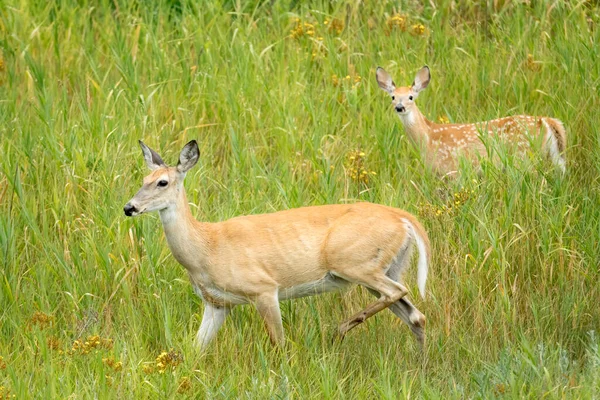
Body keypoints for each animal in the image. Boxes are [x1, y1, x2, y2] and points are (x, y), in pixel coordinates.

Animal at [123, 141, 432, 350]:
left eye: (163, 182)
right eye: (143, 179)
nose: (129, 207)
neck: (206, 247)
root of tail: (404, 219)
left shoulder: (264, 288)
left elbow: (279, 343)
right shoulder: (217, 303)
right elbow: (195, 349)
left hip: (355, 263)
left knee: (399, 293)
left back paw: (339, 329)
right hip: (385, 267)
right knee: (416, 316)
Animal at [376, 65, 568, 175]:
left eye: (411, 97)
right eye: (393, 97)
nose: (399, 107)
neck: (428, 137)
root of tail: (546, 120)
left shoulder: (452, 170)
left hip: (525, 156)